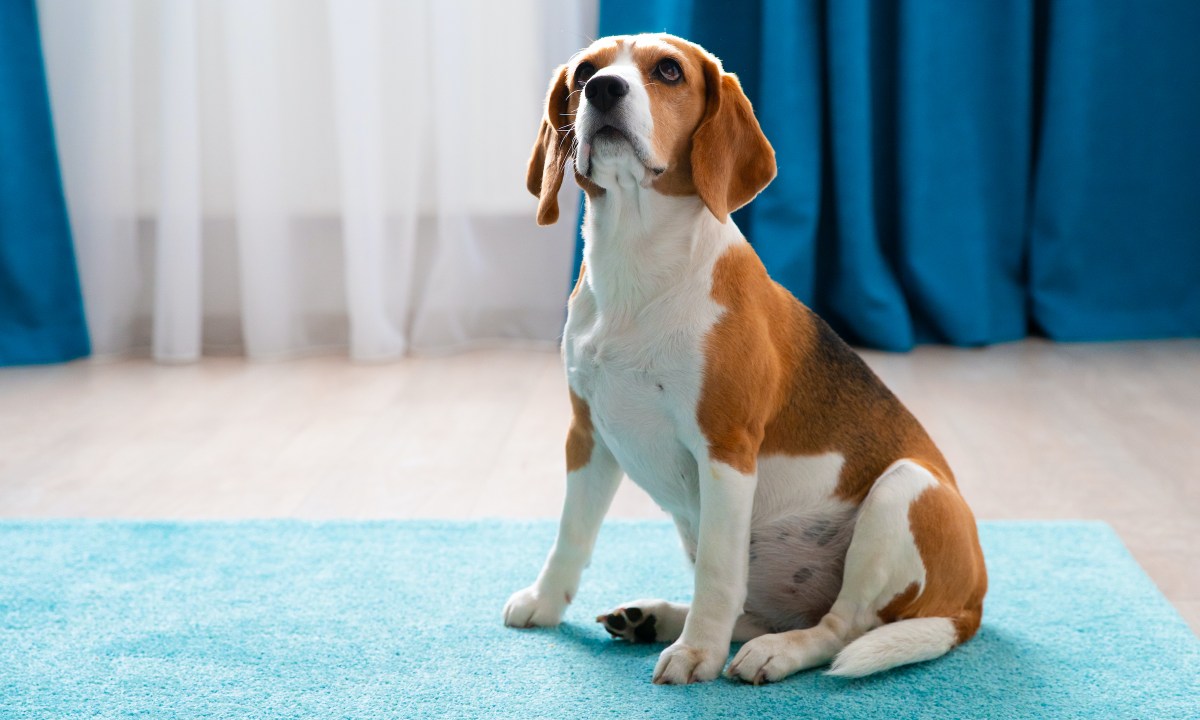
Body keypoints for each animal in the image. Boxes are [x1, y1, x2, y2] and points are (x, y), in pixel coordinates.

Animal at [501, 35, 988, 686]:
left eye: (669, 71)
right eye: (583, 73)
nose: (604, 89)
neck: (637, 263)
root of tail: (972, 604)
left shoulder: (725, 447)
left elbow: (717, 570)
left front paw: (696, 655)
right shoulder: (589, 436)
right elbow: (571, 534)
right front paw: (545, 602)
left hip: (905, 491)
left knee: (841, 628)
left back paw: (771, 650)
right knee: (756, 614)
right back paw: (652, 617)